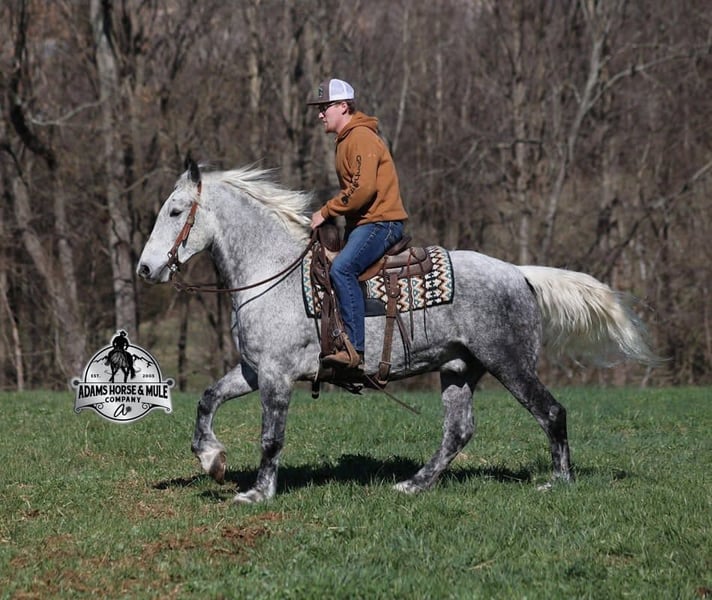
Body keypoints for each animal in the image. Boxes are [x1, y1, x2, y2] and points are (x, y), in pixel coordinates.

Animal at [136, 159, 659, 504]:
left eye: (176, 211)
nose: (145, 269)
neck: (272, 274)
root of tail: (520, 273)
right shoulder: (253, 369)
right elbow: (207, 399)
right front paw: (212, 460)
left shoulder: (277, 375)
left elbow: (271, 437)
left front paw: (257, 493)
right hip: (460, 368)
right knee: (458, 431)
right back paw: (414, 484)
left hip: (509, 363)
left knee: (550, 412)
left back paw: (559, 481)